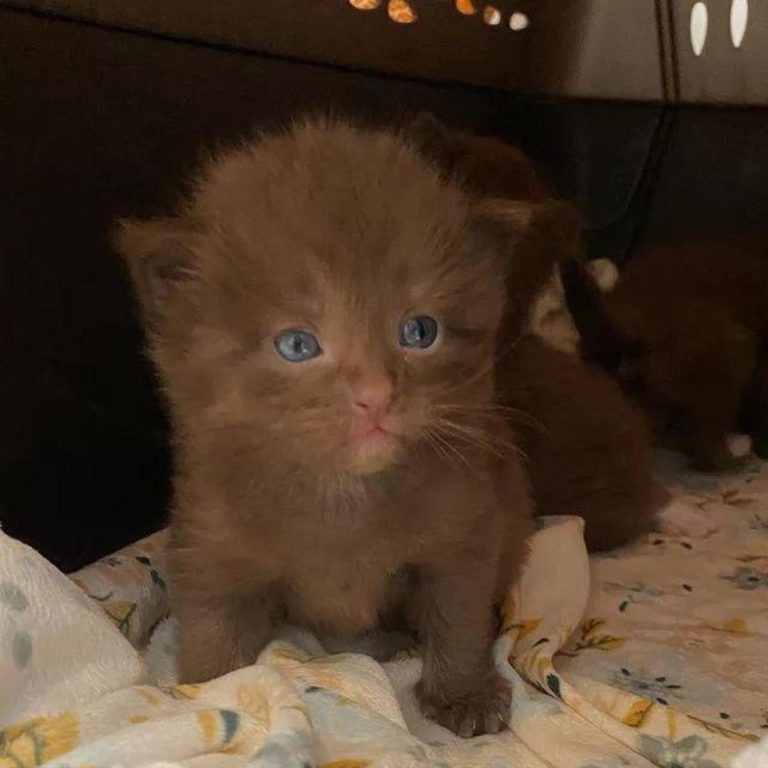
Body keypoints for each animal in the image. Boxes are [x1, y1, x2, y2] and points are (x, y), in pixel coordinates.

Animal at [115, 118, 560, 736]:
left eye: (420, 331)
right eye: (298, 344)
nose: (375, 395)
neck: (345, 494)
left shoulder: (467, 530)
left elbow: (459, 616)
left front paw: (462, 693)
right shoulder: (212, 543)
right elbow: (212, 628)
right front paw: (207, 697)